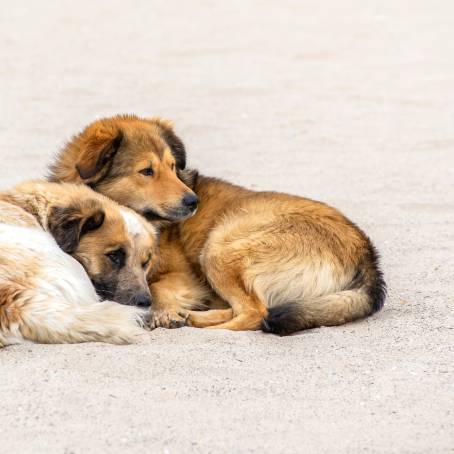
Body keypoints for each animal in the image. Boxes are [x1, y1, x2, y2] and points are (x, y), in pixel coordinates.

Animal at [49, 115, 384, 336]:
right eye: (146, 171)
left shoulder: (185, 275)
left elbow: (156, 286)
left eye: (173, 166)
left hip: (219, 247)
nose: (192, 201)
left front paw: (164, 311)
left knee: (254, 313)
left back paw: (200, 323)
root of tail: (366, 254)